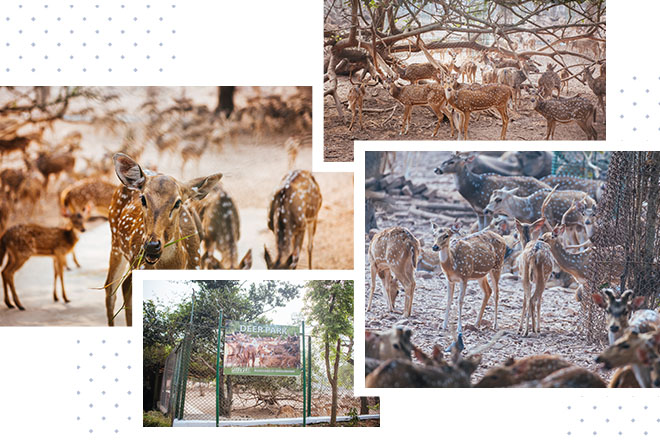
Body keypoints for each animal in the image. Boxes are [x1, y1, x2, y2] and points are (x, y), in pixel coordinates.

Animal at [104, 153, 222, 326]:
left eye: (178, 202)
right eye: (143, 199)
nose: (152, 245)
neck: (175, 266)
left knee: (124, 285)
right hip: (116, 243)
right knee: (110, 288)